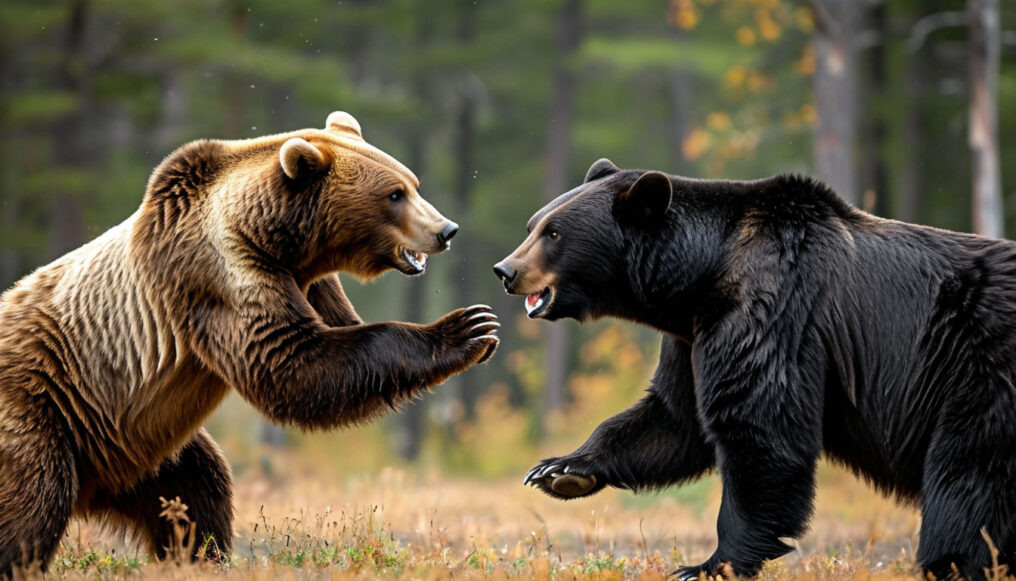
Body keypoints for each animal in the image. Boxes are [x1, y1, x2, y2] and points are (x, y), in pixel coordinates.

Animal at [0, 111, 499, 576]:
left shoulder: (310, 280)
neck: (277, 239)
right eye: (394, 194)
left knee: (198, 489)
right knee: (34, 501)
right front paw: (468, 327)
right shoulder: (218, 275)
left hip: (133, 450)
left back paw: (197, 557)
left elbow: (338, 338)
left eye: (412, 183)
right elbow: (291, 363)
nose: (446, 230)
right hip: (42, 411)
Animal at [494, 158, 1016, 580]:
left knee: (967, 477)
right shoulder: (691, 336)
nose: (505, 271)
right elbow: (674, 418)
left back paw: (949, 562)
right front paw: (557, 468)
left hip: (977, 371)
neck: (701, 279)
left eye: (554, 233)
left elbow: (759, 431)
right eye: (533, 224)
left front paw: (707, 564)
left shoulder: (771, 311)